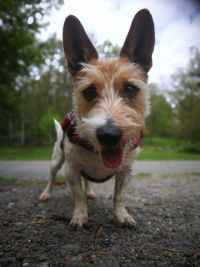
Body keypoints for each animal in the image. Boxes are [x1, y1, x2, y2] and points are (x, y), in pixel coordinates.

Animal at [39, 9, 155, 229]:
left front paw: (121, 215)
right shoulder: (71, 170)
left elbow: (118, 196)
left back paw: (91, 191)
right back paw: (46, 193)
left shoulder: (126, 171)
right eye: (89, 91)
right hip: (55, 161)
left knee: (87, 181)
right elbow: (78, 196)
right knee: (51, 177)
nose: (109, 135)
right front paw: (79, 215)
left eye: (130, 89)